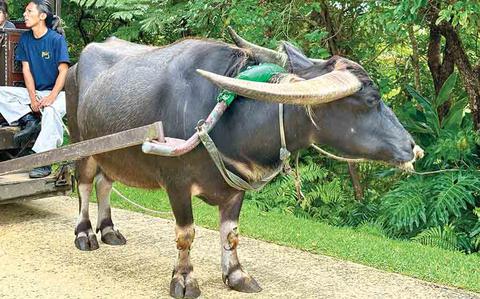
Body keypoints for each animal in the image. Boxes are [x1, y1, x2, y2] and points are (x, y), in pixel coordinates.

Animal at [66, 34, 420, 298]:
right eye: (372, 99)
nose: (413, 148)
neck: (226, 118)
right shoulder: (177, 184)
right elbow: (186, 234)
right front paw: (184, 280)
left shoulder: (236, 189)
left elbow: (232, 234)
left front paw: (236, 275)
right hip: (83, 146)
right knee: (84, 184)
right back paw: (85, 234)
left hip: (112, 154)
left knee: (105, 183)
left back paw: (109, 230)